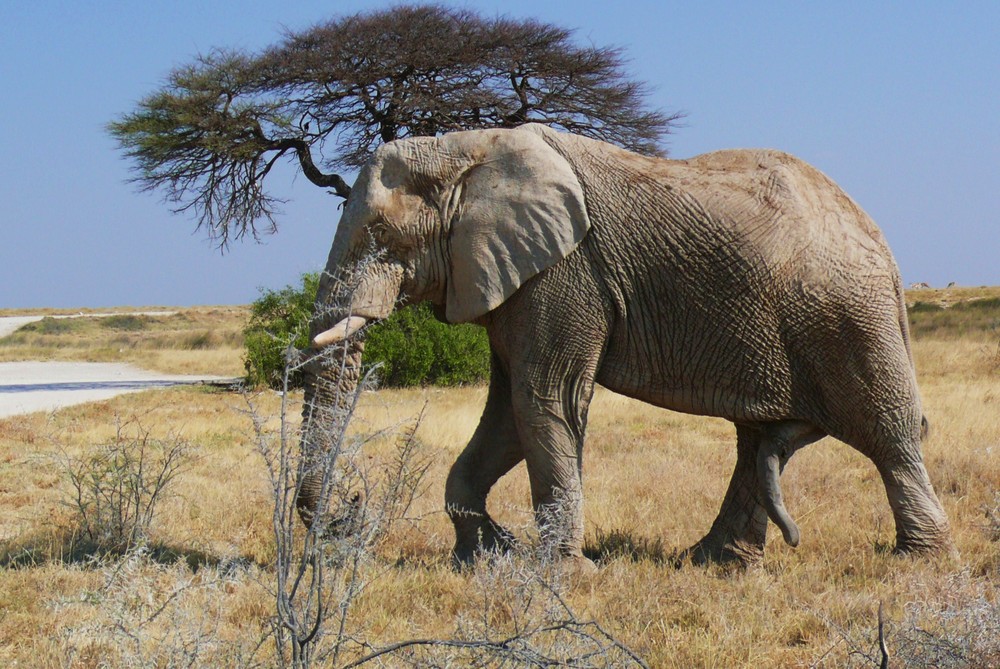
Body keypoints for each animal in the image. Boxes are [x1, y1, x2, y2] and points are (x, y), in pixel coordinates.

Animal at [298, 122, 952, 568]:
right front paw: (487, 555)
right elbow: (509, 412)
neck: (469, 147)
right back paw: (716, 563)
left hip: (846, 317)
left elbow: (545, 399)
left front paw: (561, 574)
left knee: (888, 435)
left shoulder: (564, 273)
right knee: (759, 440)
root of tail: (882, 241)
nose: (349, 511)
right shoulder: (519, 277)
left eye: (380, 234)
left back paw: (921, 560)